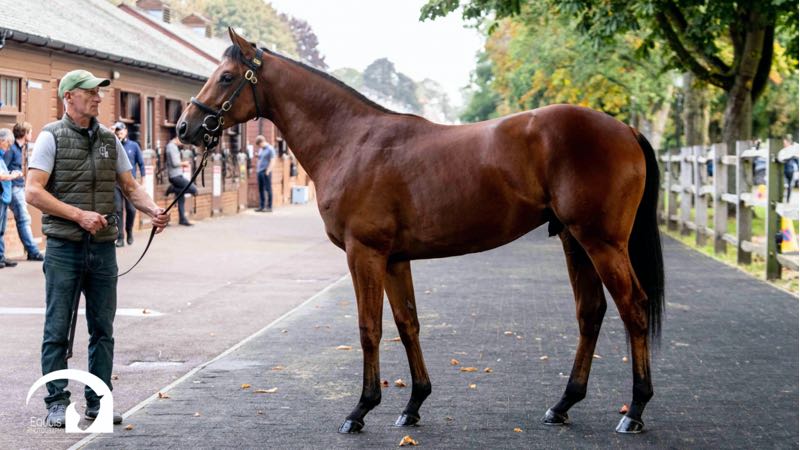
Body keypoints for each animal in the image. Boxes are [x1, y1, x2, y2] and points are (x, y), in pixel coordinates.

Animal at [177, 28, 665, 435]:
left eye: (225, 77)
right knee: (591, 313)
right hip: (573, 241)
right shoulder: (395, 258)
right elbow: (407, 323)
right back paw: (563, 405)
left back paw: (636, 411)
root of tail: (626, 129)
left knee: (634, 309)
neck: (352, 141)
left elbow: (369, 328)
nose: (186, 127)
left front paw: (360, 410)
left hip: (602, 243)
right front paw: (412, 405)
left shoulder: (365, 253)